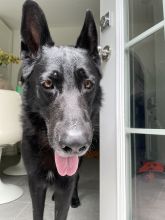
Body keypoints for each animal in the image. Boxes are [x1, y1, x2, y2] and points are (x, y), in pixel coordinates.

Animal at [20, 0, 102, 220]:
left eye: (88, 84)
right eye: (48, 83)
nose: (75, 145)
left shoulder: (66, 184)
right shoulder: (35, 183)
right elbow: (37, 212)